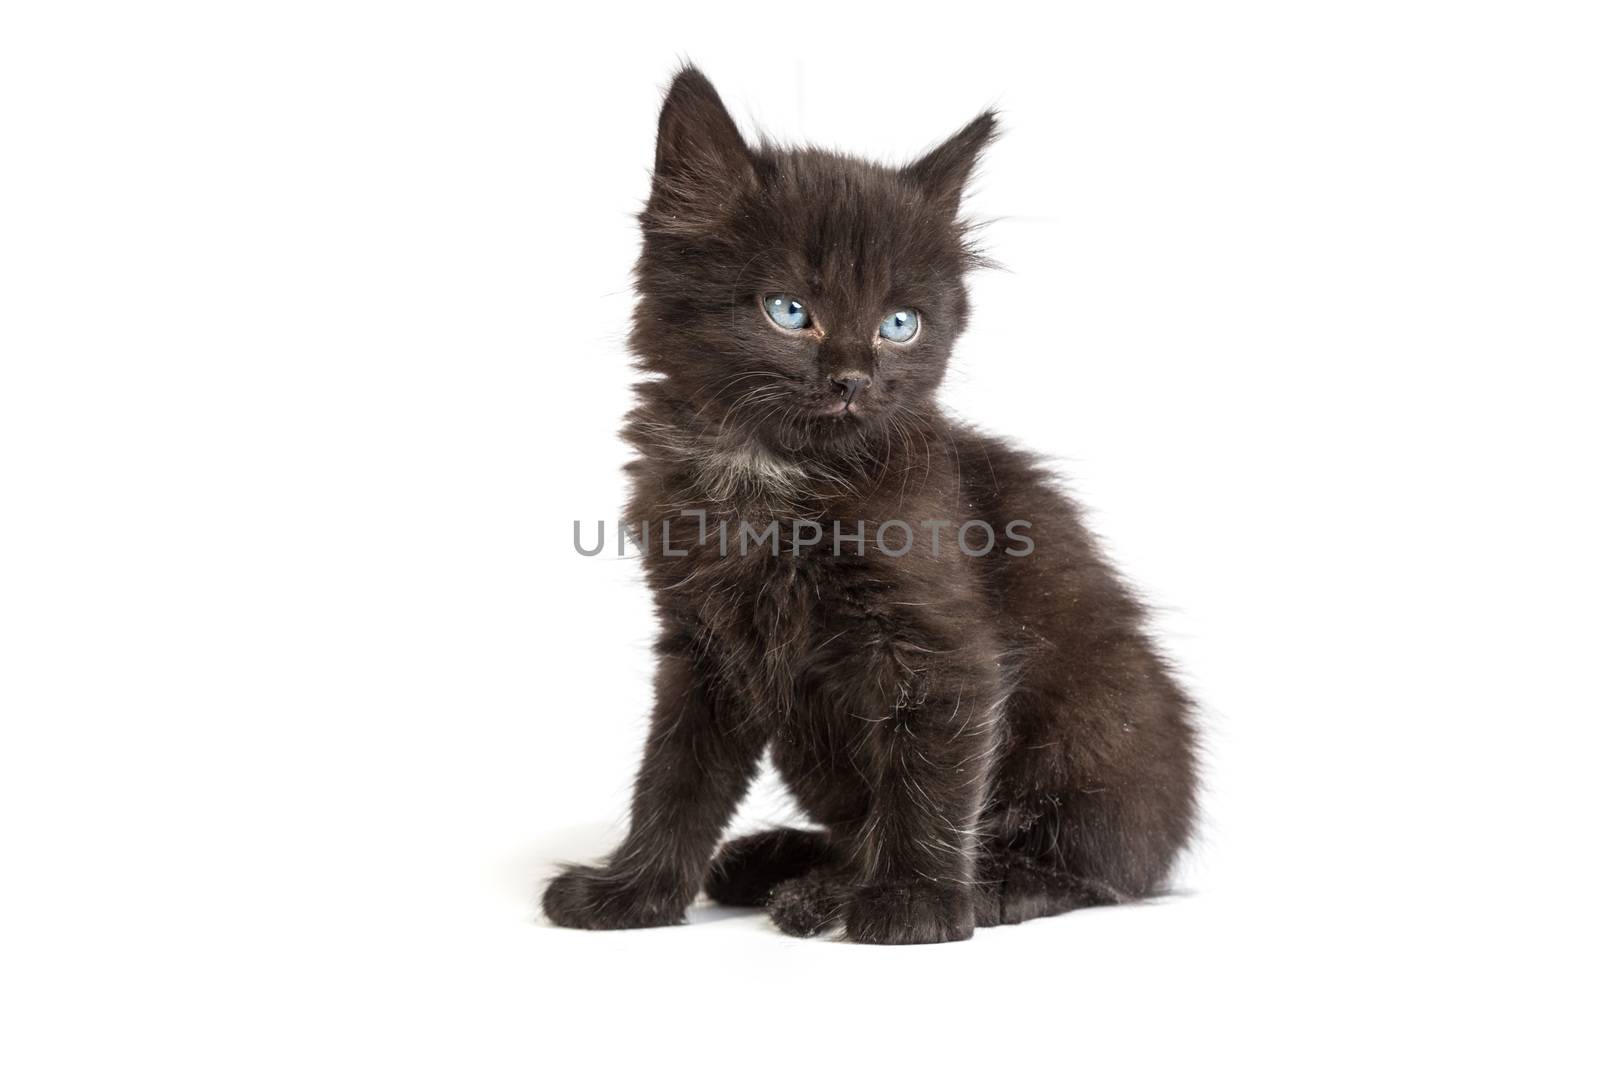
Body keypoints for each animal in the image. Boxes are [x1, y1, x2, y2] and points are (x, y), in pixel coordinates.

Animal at [544, 70, 1196, 947]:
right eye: (789, 310)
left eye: (899, 324)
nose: (854, 378)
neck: (772, 476)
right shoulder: (702, 645)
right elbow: (674, 778)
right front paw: (632, 890)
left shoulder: (942, 643)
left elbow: (928, 780)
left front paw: (916, 901)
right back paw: (782, 866)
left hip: (1099, 725)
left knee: (1088, 865)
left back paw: (935, 890)